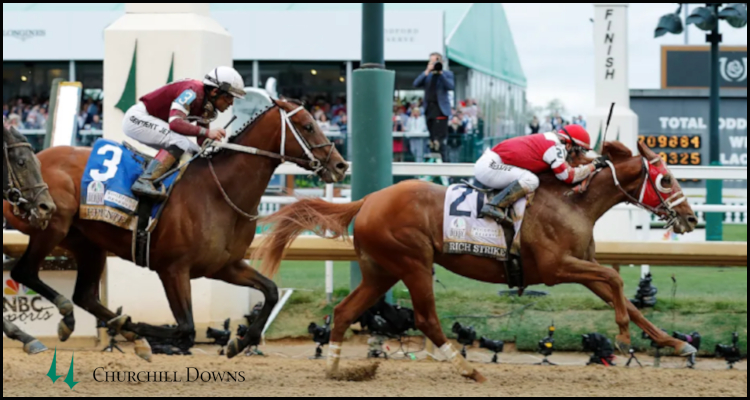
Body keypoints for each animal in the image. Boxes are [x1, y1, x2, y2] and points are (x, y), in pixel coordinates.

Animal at [3, 99, 350, 360]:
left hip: (89, 244)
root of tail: (40, 158)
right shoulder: (173, 269)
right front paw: (136, 326)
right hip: (51, 226)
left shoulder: (225, 265)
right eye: (307, 125)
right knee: (25, 272)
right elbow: (186, 328)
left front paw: (240, 341)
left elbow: (271, 290)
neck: (219, 192)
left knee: (84, 295)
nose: (340, 165)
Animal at [256, 141, 704, 382]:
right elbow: (616, 281)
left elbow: (622, 294)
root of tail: (366, 200)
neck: (573, 202)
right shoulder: (557, 268)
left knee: (345, 310)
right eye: (666, 179)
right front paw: (625, 338)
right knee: (426, 319)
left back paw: (336, 369)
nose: (691, 218)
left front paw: (675, 343)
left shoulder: (580, 266)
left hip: (381, 270)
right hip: (413, 263)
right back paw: (466, 369)